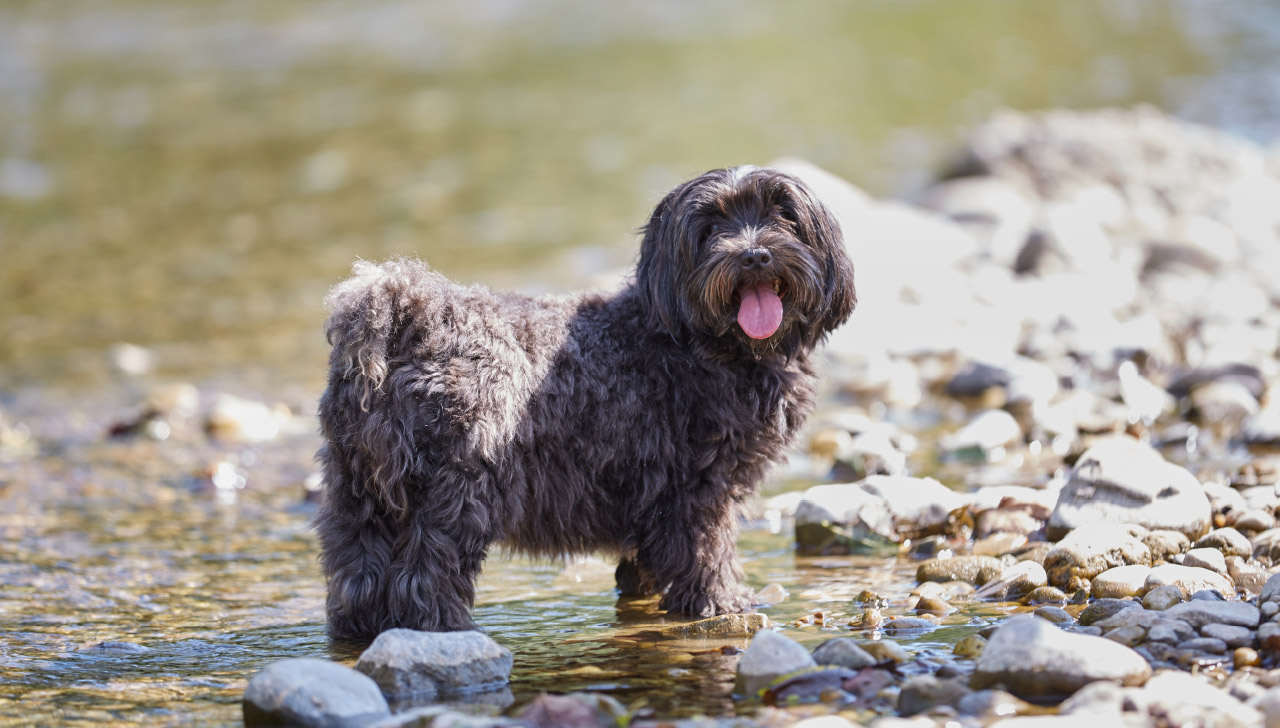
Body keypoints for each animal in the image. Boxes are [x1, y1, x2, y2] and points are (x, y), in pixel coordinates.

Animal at [314, 165, 855, 634]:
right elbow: (705, 552)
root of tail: (411, 321)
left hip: (358, 491)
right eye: (710, 227)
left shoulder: (655, 496)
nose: (755, 255)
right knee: (424, 576)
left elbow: (650, 557)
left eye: (783, 214)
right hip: (458, 489)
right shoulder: (697, 488)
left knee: (358, 577)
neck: (698, 344)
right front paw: (724, 602)